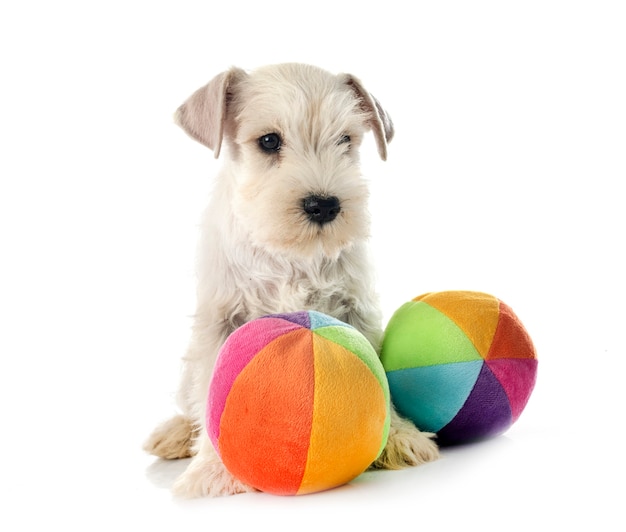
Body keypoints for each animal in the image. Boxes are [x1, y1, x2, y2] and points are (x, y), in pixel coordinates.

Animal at [145, 63, 438, 498]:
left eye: (345, 139)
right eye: (268, 141)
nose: (325, 205)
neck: (291, 255)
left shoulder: (357, 311)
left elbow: (381, 376)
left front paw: (400, 435)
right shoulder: (220, 324)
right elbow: (210, 395)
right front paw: (212, 470)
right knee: (188, 402)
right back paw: (175, 434)